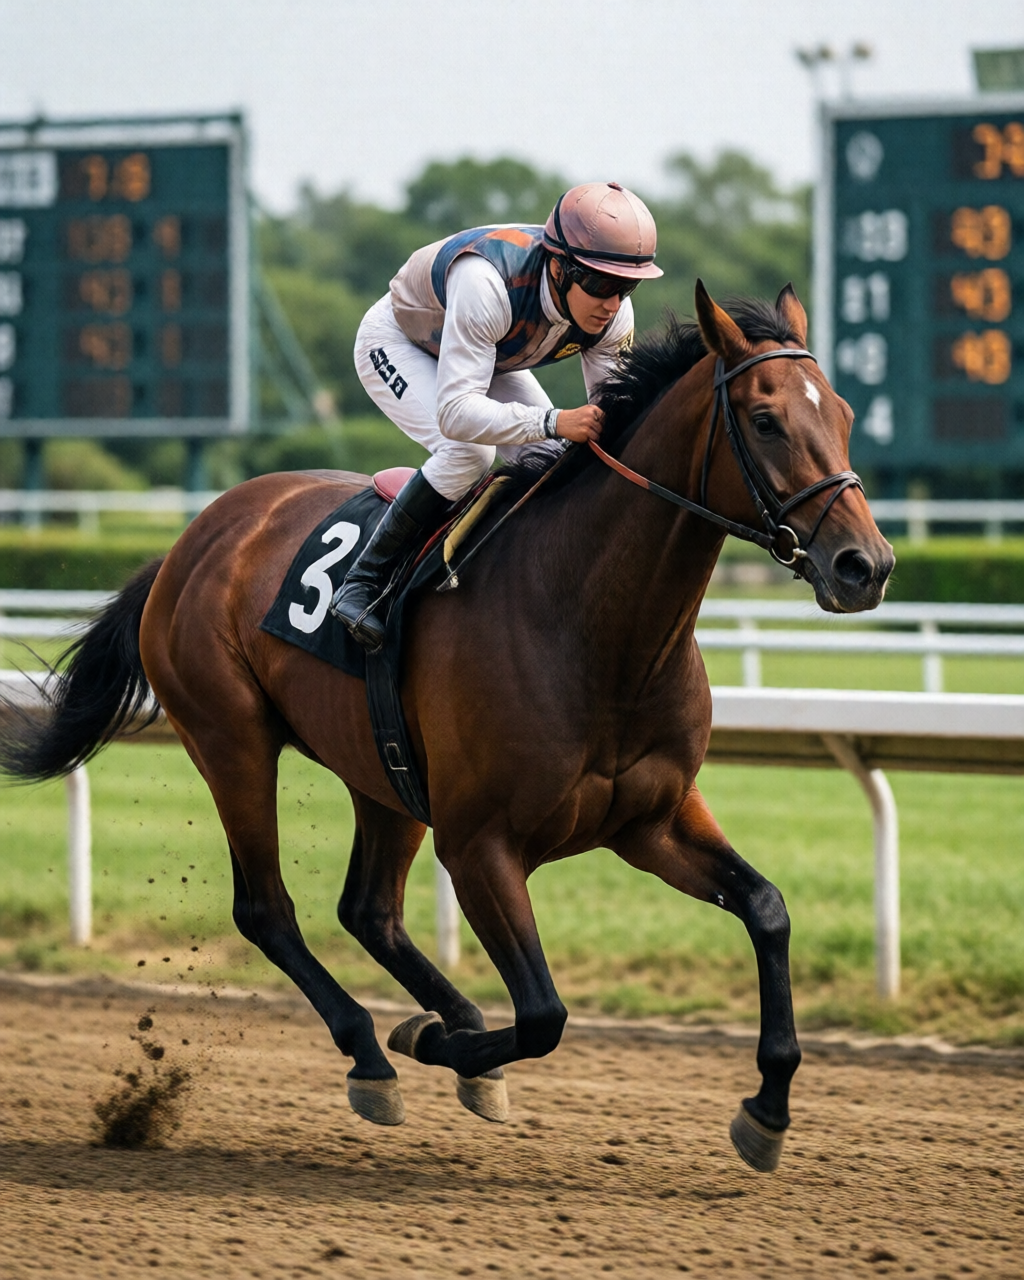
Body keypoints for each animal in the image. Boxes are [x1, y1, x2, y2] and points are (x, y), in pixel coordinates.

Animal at [0, 282, 893, 1173]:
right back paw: (374, 1051)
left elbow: (767, 909)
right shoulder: (478, 844)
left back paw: (446, 1024)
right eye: (765, 419)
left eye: (846, 412)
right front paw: (436, 1045)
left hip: (381, 769)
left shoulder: (653, 819)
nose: (867, 566)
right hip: (230, 740)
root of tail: (188, 543)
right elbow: (543, 1014)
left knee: (369, 910)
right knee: (267, 909)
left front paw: (768, 1109)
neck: (591, 624)